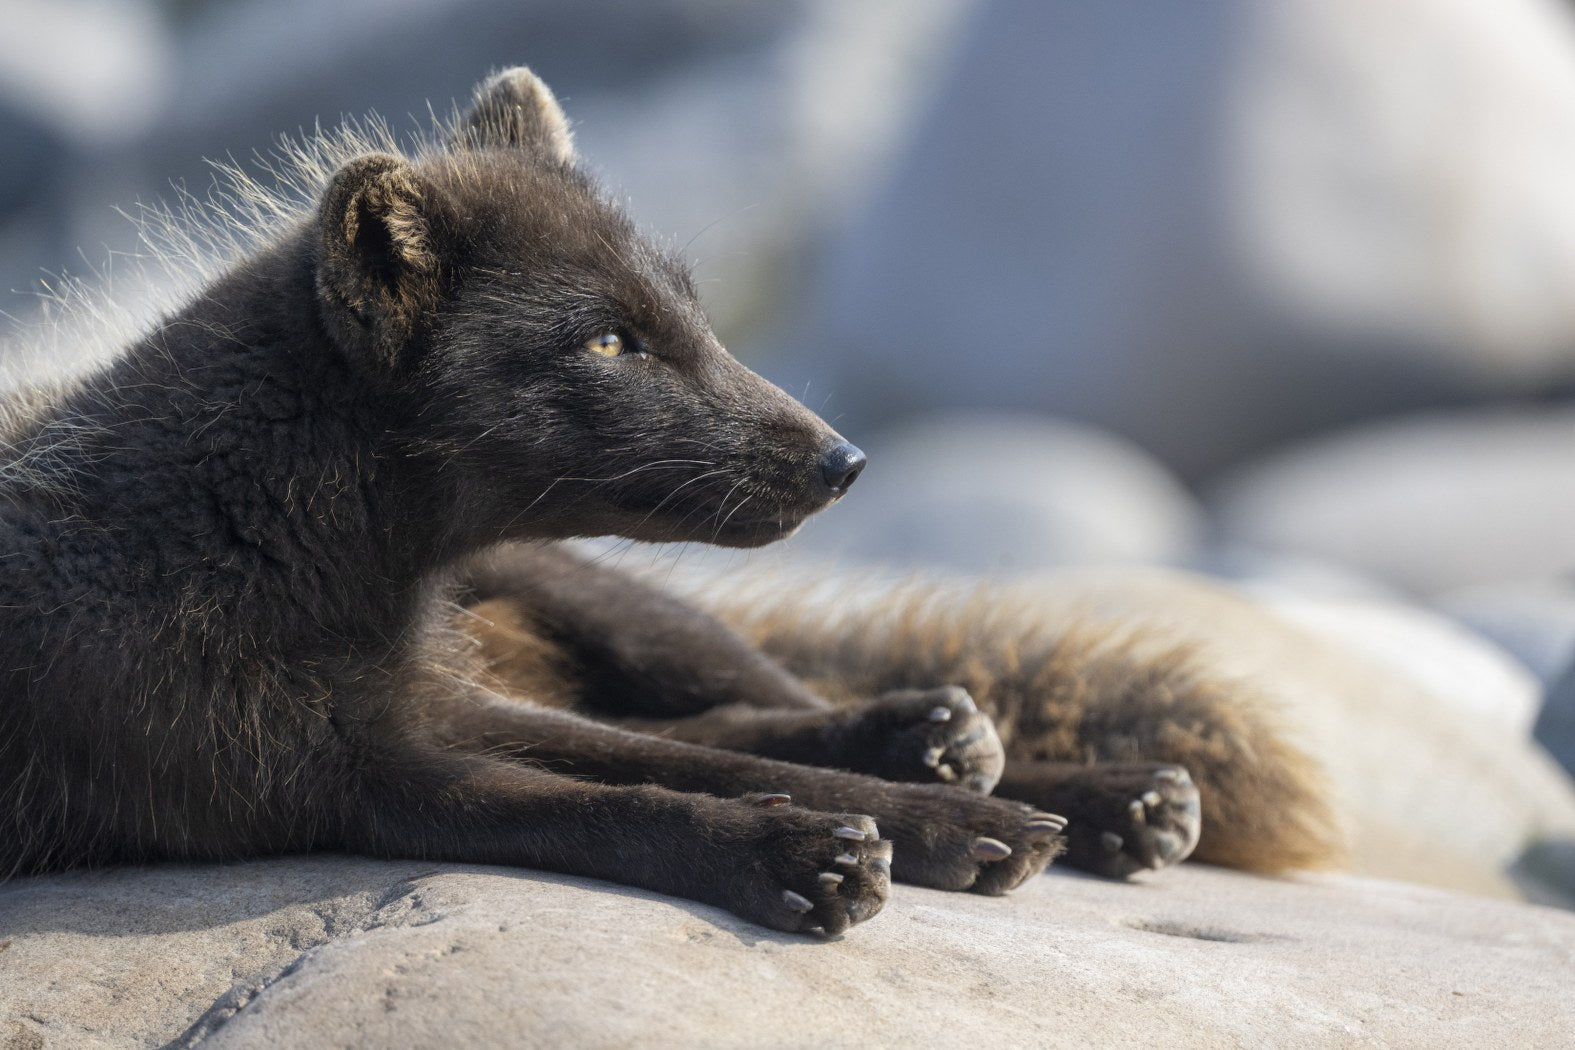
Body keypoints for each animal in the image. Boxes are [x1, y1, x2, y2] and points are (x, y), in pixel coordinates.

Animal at [0, 68, 1338, 936]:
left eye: (690, 310)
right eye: (607, 340)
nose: (845, 461)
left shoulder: (432, 704)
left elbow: (670, 759)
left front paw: (933, 817)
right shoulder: (343, 774)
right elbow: (616, 800)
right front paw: (802, 854)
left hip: (606, 600)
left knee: (756, 700)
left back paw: (1035, 770)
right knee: (711, 725)